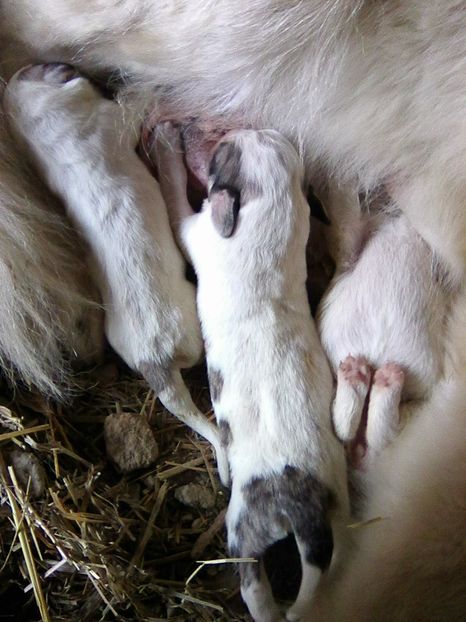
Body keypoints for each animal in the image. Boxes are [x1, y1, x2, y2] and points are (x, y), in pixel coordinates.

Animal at [3, 66, 229, 488]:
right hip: (190, 332)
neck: (54, 138)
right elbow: (133, 107)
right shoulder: (113, 121)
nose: (21, 72)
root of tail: (156, 365)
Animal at [154, 125, 350, 622]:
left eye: (223, 152)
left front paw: (166, 149)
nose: (245, 127)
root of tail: (299, 510)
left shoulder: (196, 231)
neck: (269, 229)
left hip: (243, 527)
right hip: (337, 508)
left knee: (253, 583)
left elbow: (175, 201)